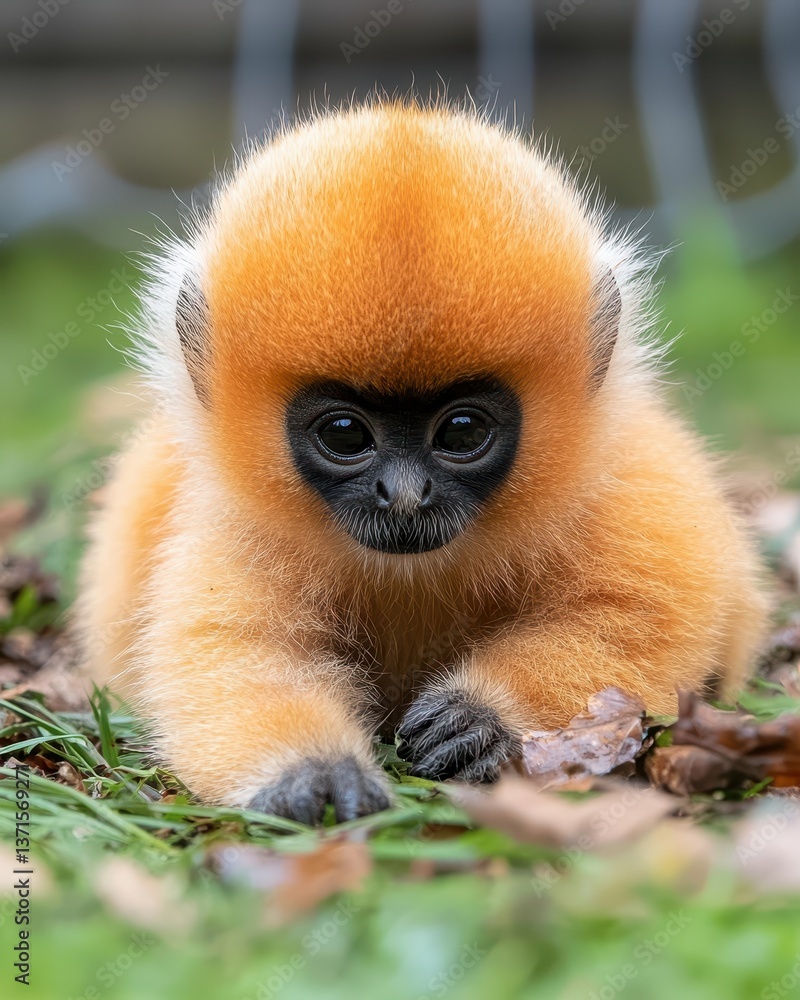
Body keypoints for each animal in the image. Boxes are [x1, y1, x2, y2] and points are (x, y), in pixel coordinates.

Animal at [76, 102, 768, 825]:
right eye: (346, 434)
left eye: (461, 430)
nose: (405, 494)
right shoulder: (237, 520)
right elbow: (235, 646)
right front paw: (313, 771)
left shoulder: (621, 475)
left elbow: (643, 612)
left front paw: (482, 719)